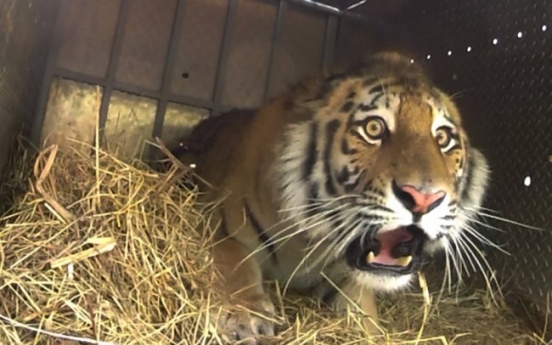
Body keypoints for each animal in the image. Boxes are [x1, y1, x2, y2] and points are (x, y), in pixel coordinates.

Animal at [166, 50, 490, 342]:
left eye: (443, 138)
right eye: (373, 128)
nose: (424, 199)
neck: (307, 243)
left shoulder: (349, 278)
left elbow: (363, 310)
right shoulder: (215, 223)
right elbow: (235, 263)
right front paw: (244, 317)